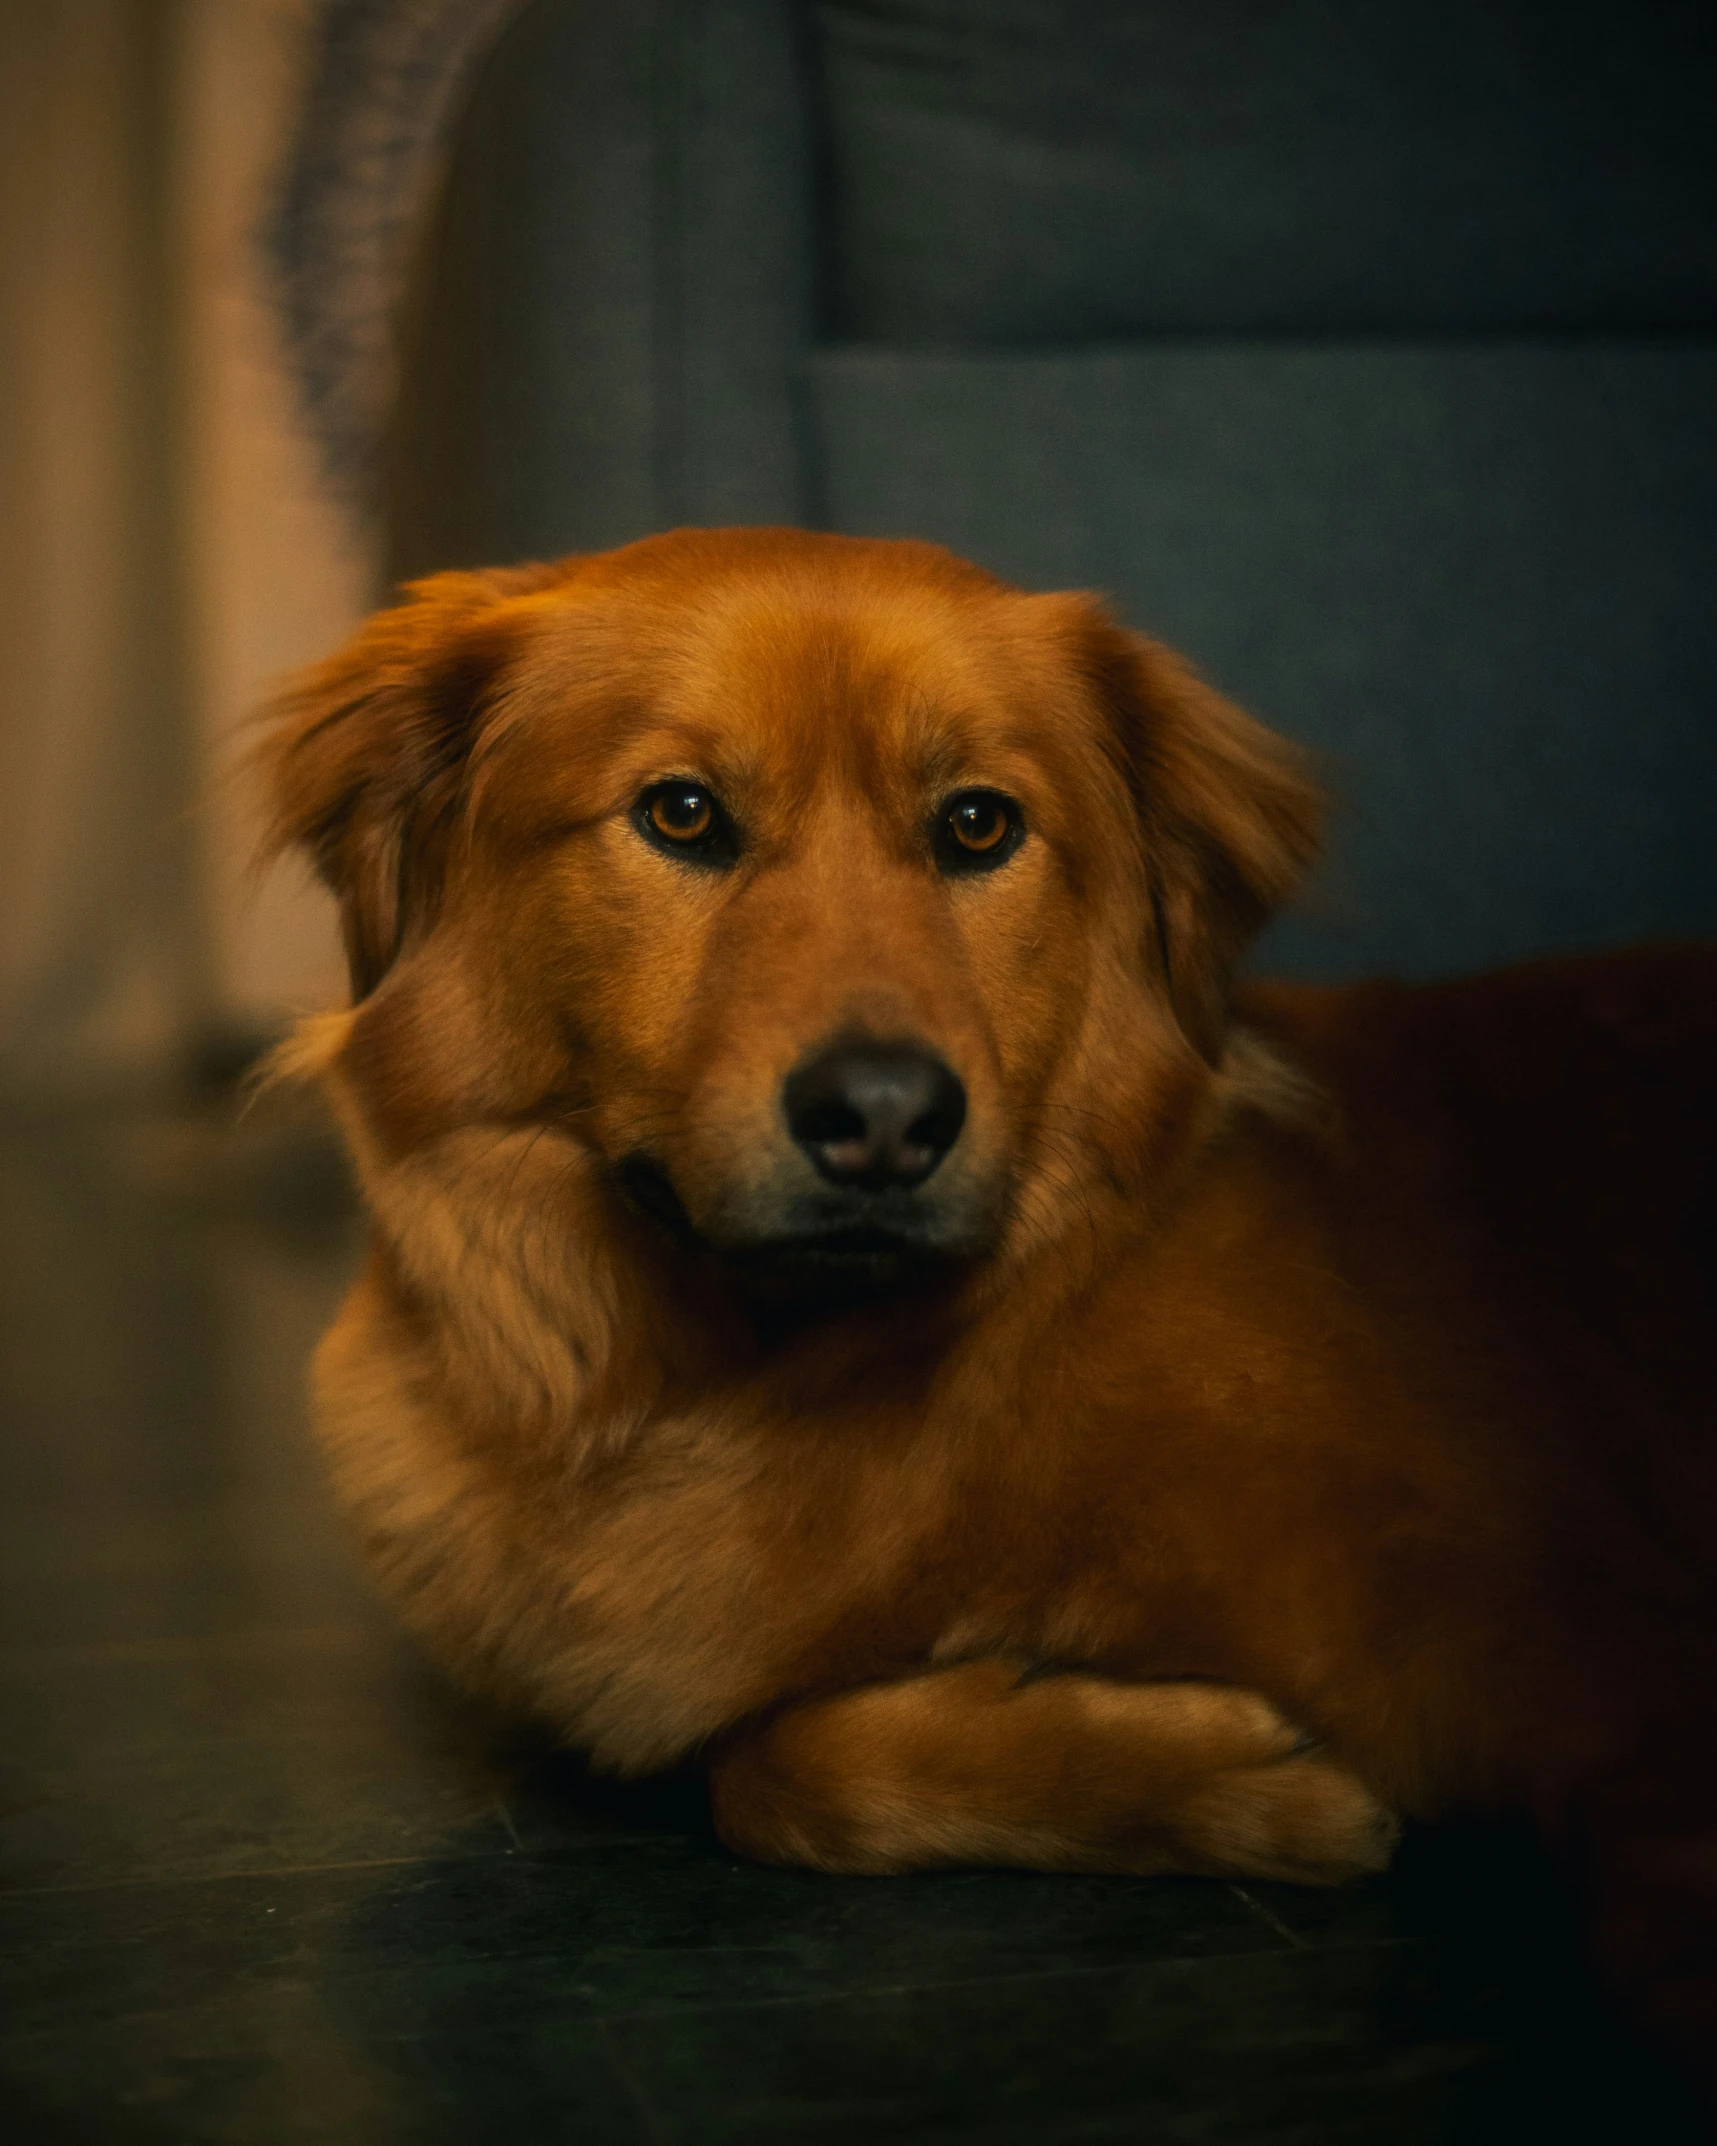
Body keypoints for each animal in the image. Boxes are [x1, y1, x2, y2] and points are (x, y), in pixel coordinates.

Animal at [261, 519, 1708, 2060]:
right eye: (683, 814)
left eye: (974, 826)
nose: (885, 1116)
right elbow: (773, 1764)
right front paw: (1246, 1780)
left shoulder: (1597, 1643)